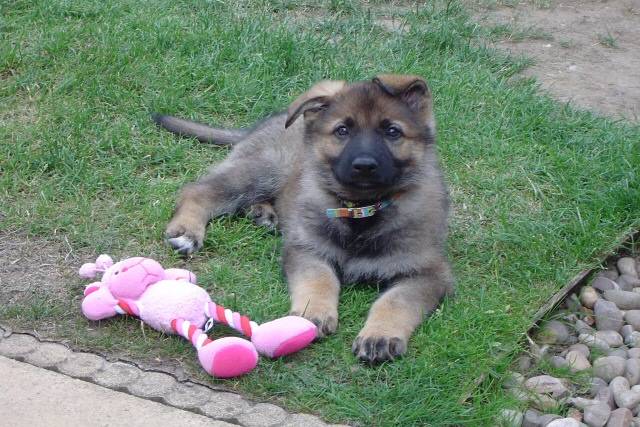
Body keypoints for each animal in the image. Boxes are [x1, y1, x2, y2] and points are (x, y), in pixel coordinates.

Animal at [155, 75, 456, 362]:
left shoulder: (427, 273)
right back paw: (188, 230)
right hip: (263, 169)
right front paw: (313, 313)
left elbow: (396, 301)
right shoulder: (307, 249)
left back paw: (263, 213)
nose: (364, 166)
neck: (360, 212)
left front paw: (379, 335)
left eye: (392, 131)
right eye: (342, 130)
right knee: (199, 190)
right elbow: (320, 279)